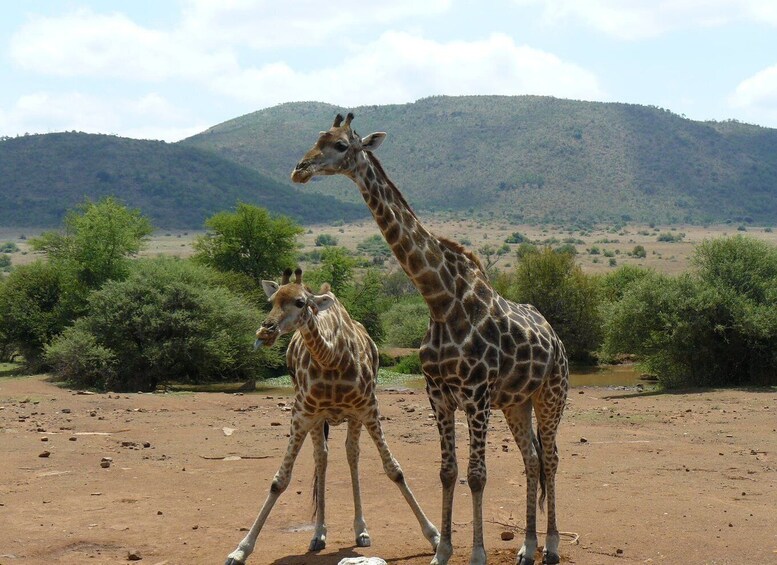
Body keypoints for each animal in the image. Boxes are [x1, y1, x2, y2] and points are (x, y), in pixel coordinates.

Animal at [226, 266, 442, 560]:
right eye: (272, 301)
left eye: (300, 302)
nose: (265, 330)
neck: (332, 359)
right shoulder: (302, 413)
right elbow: (279, 481)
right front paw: (241, 549)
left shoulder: (369, 408)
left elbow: (394, 470)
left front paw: (434, 536)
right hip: (319, 419)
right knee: (322, 457)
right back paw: (318, 534)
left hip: (354, 417)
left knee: (352, 454)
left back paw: (361, 530)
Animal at [292, 114, 568, 564]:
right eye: (317, 138)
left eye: (340, 146)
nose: (300, 169)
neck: (440, 300)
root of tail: (557, 340)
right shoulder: (438, 393)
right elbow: (448, 471)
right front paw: (443, 550)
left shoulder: (476, 393)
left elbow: (477, 475)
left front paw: (477, 553)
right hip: (516, 402)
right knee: (531, 459)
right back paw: (527, 547)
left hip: (551, 394)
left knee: (552, 459)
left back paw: (553, 547)